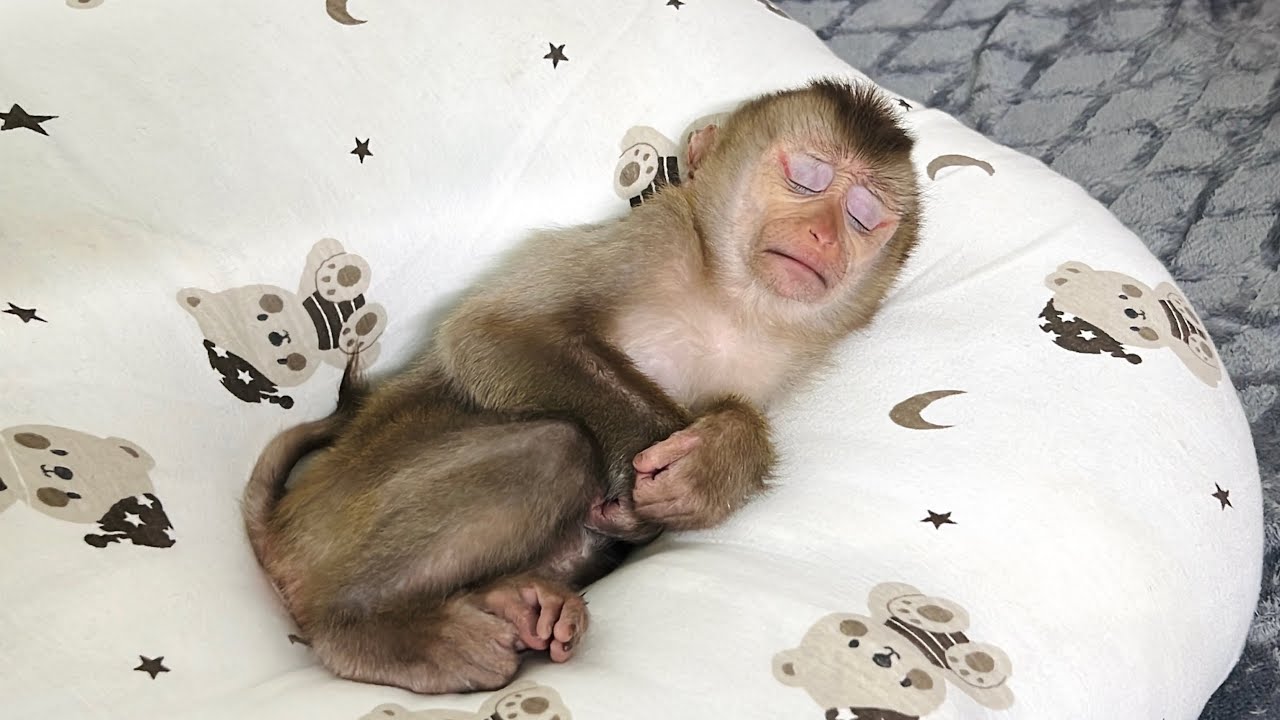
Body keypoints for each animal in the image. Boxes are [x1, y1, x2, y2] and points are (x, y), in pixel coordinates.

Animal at [242, 78, 921, 695]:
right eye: (807, 178)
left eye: (863, 215)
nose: (823, 235)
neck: (731, 300)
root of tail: (284, 524)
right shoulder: (648, 239)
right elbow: (491, 332)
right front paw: (653, 468)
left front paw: (719, 463)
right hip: (341, 516)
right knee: (557, 448)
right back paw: (363, 629)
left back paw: (525, 605)